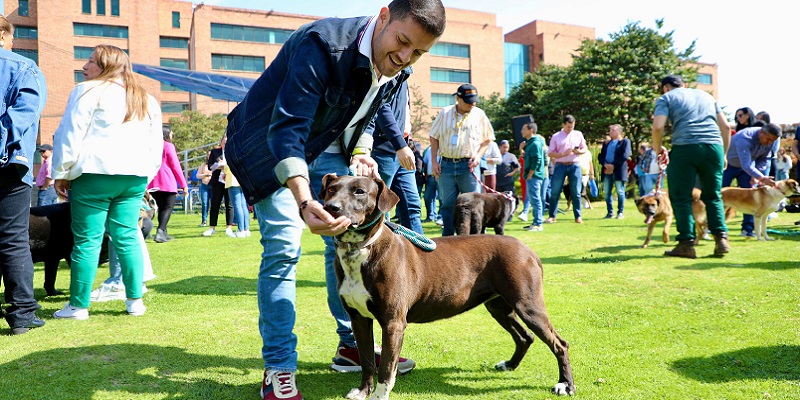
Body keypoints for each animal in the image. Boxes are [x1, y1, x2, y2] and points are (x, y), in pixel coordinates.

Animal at [320, 174, 576, 400]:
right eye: (331, 189)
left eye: (359, 191)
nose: (331, 207)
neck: (361, 249)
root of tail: (527, 250)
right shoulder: (358, 319)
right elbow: (366, 361)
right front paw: (362, 391)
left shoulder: (393, 323)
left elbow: (385, 368)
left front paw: (378, 396)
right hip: (499, 306)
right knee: (524, 337)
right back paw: (510, 364)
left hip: (528, 304)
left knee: (559, 343)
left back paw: (565, 385)